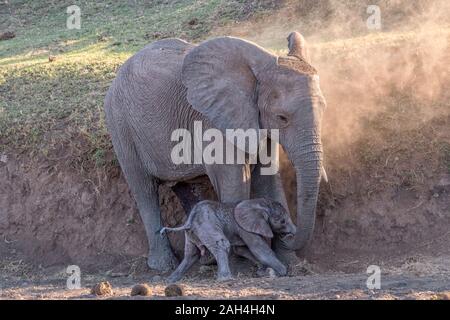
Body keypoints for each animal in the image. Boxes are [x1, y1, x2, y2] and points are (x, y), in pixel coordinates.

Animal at [103, 31, 326, 270]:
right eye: (282, 118)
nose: (289, 234)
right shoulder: (211, 120)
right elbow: (234, 181)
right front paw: (243, 265)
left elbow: (268, 179)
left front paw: (291, 264)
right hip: (120, 126)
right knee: (144, 189)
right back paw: (164, 266)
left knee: (185, 188)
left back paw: (206, 259)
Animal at [160, 198, 298, 282]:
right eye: (282, 221)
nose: (291, 233)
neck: (260, 203)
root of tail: (189, 221)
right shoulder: (244, 227)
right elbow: (258, 248)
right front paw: (282, 272)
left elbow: (242, 249)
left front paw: (262, 271)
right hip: (207, 224)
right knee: (222, 245)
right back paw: (225, 279)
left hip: (192, 233)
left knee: (191, 254)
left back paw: (170, 280)